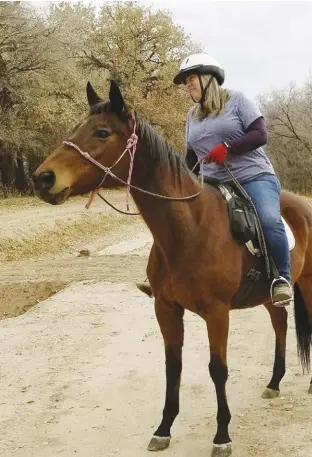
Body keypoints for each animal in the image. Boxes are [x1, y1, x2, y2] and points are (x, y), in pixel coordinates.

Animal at [32, 80, 312, 454]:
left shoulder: (217, 313)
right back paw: (274, 382)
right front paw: (163, 428)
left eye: (102, 132)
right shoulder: (165, 308)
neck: (188, 229)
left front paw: (222, 434)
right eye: (76, 127)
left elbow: (217, 369)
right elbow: (172, 366)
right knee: (280, 324)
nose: (43, 178)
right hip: (268, 296)